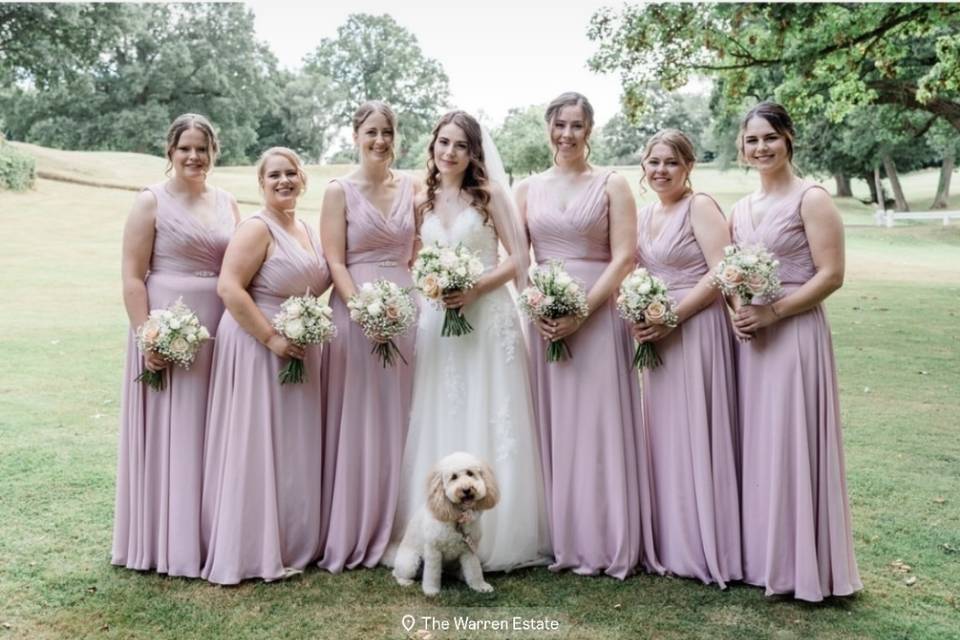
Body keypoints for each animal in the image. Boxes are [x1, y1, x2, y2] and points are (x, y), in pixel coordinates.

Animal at [394, 450, 502, 596]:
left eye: (470, 473)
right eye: (454, 477)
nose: (466, 489)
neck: (458, 517)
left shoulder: (468, 550)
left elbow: (474, 570)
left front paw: (480, 586)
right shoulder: (433, 550)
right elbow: (432, 574)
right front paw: (431, 590)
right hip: (410, 562)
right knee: (397, 573)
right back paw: (405, 582)